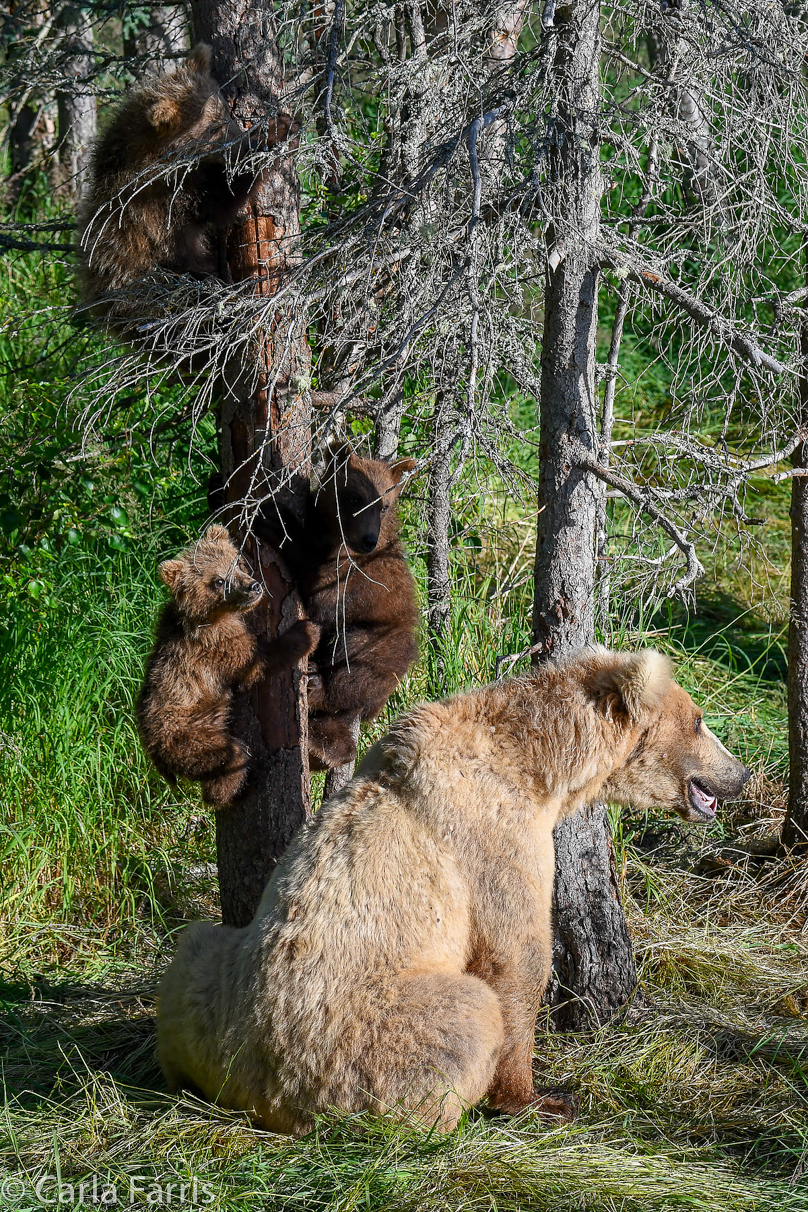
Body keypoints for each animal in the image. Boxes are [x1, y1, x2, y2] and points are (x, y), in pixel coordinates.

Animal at [157, 649, 751, 1129]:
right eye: (699, 720)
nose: (742, 775)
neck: (539, 764)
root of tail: (256, 1090)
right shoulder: (493, 834)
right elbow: (515, 957)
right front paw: (538, 1098)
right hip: (354, 1036)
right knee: (466, 1015)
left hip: (208, 985)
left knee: (195, 945)